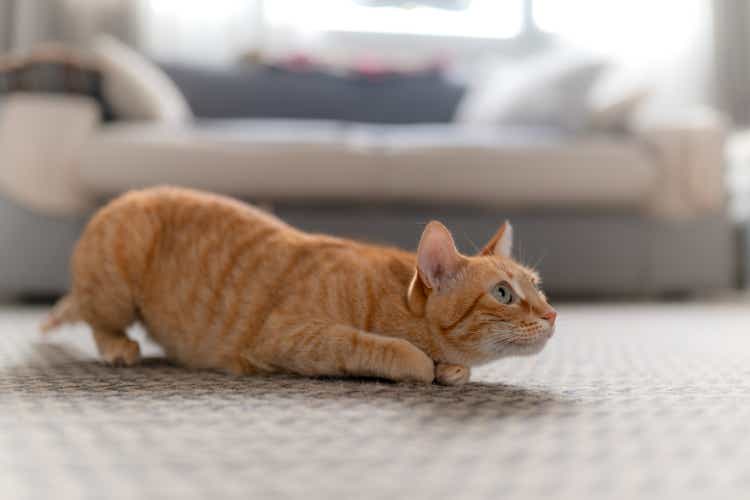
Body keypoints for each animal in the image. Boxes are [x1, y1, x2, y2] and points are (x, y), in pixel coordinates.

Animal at [42, 186, 560, 384]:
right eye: (503, 294)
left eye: (538, 287)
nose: (553, 314)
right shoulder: (289, 336)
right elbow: (384, 349)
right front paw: (423, 363)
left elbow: (457, 368)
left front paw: (453, 369)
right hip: (116, 281)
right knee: (98, 322)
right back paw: (118, 346)